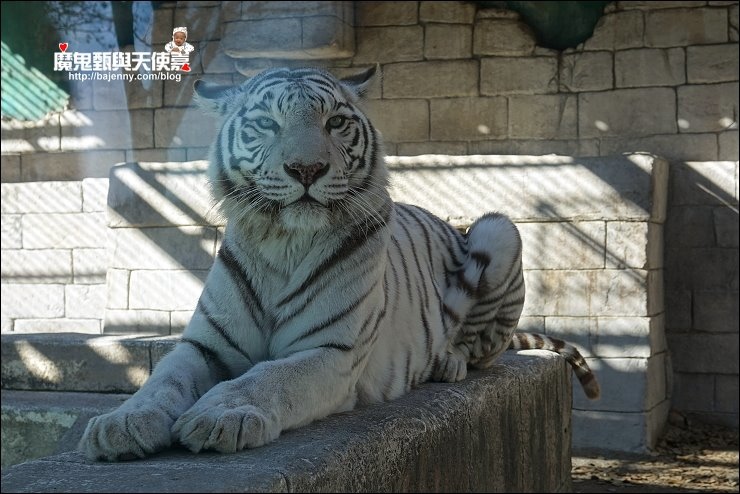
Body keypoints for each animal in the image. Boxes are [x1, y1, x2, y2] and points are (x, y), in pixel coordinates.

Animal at [79, 64, 600, 460]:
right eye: (267, 123)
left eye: (335, 123)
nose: (306, 169)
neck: (283, 242)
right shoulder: (204, 346)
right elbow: (162, 380)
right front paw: (121, 422)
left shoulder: (332, 350)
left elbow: (268, 377)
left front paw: (218, 415)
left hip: (500, 230)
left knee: (483, 350)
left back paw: (448, 362)